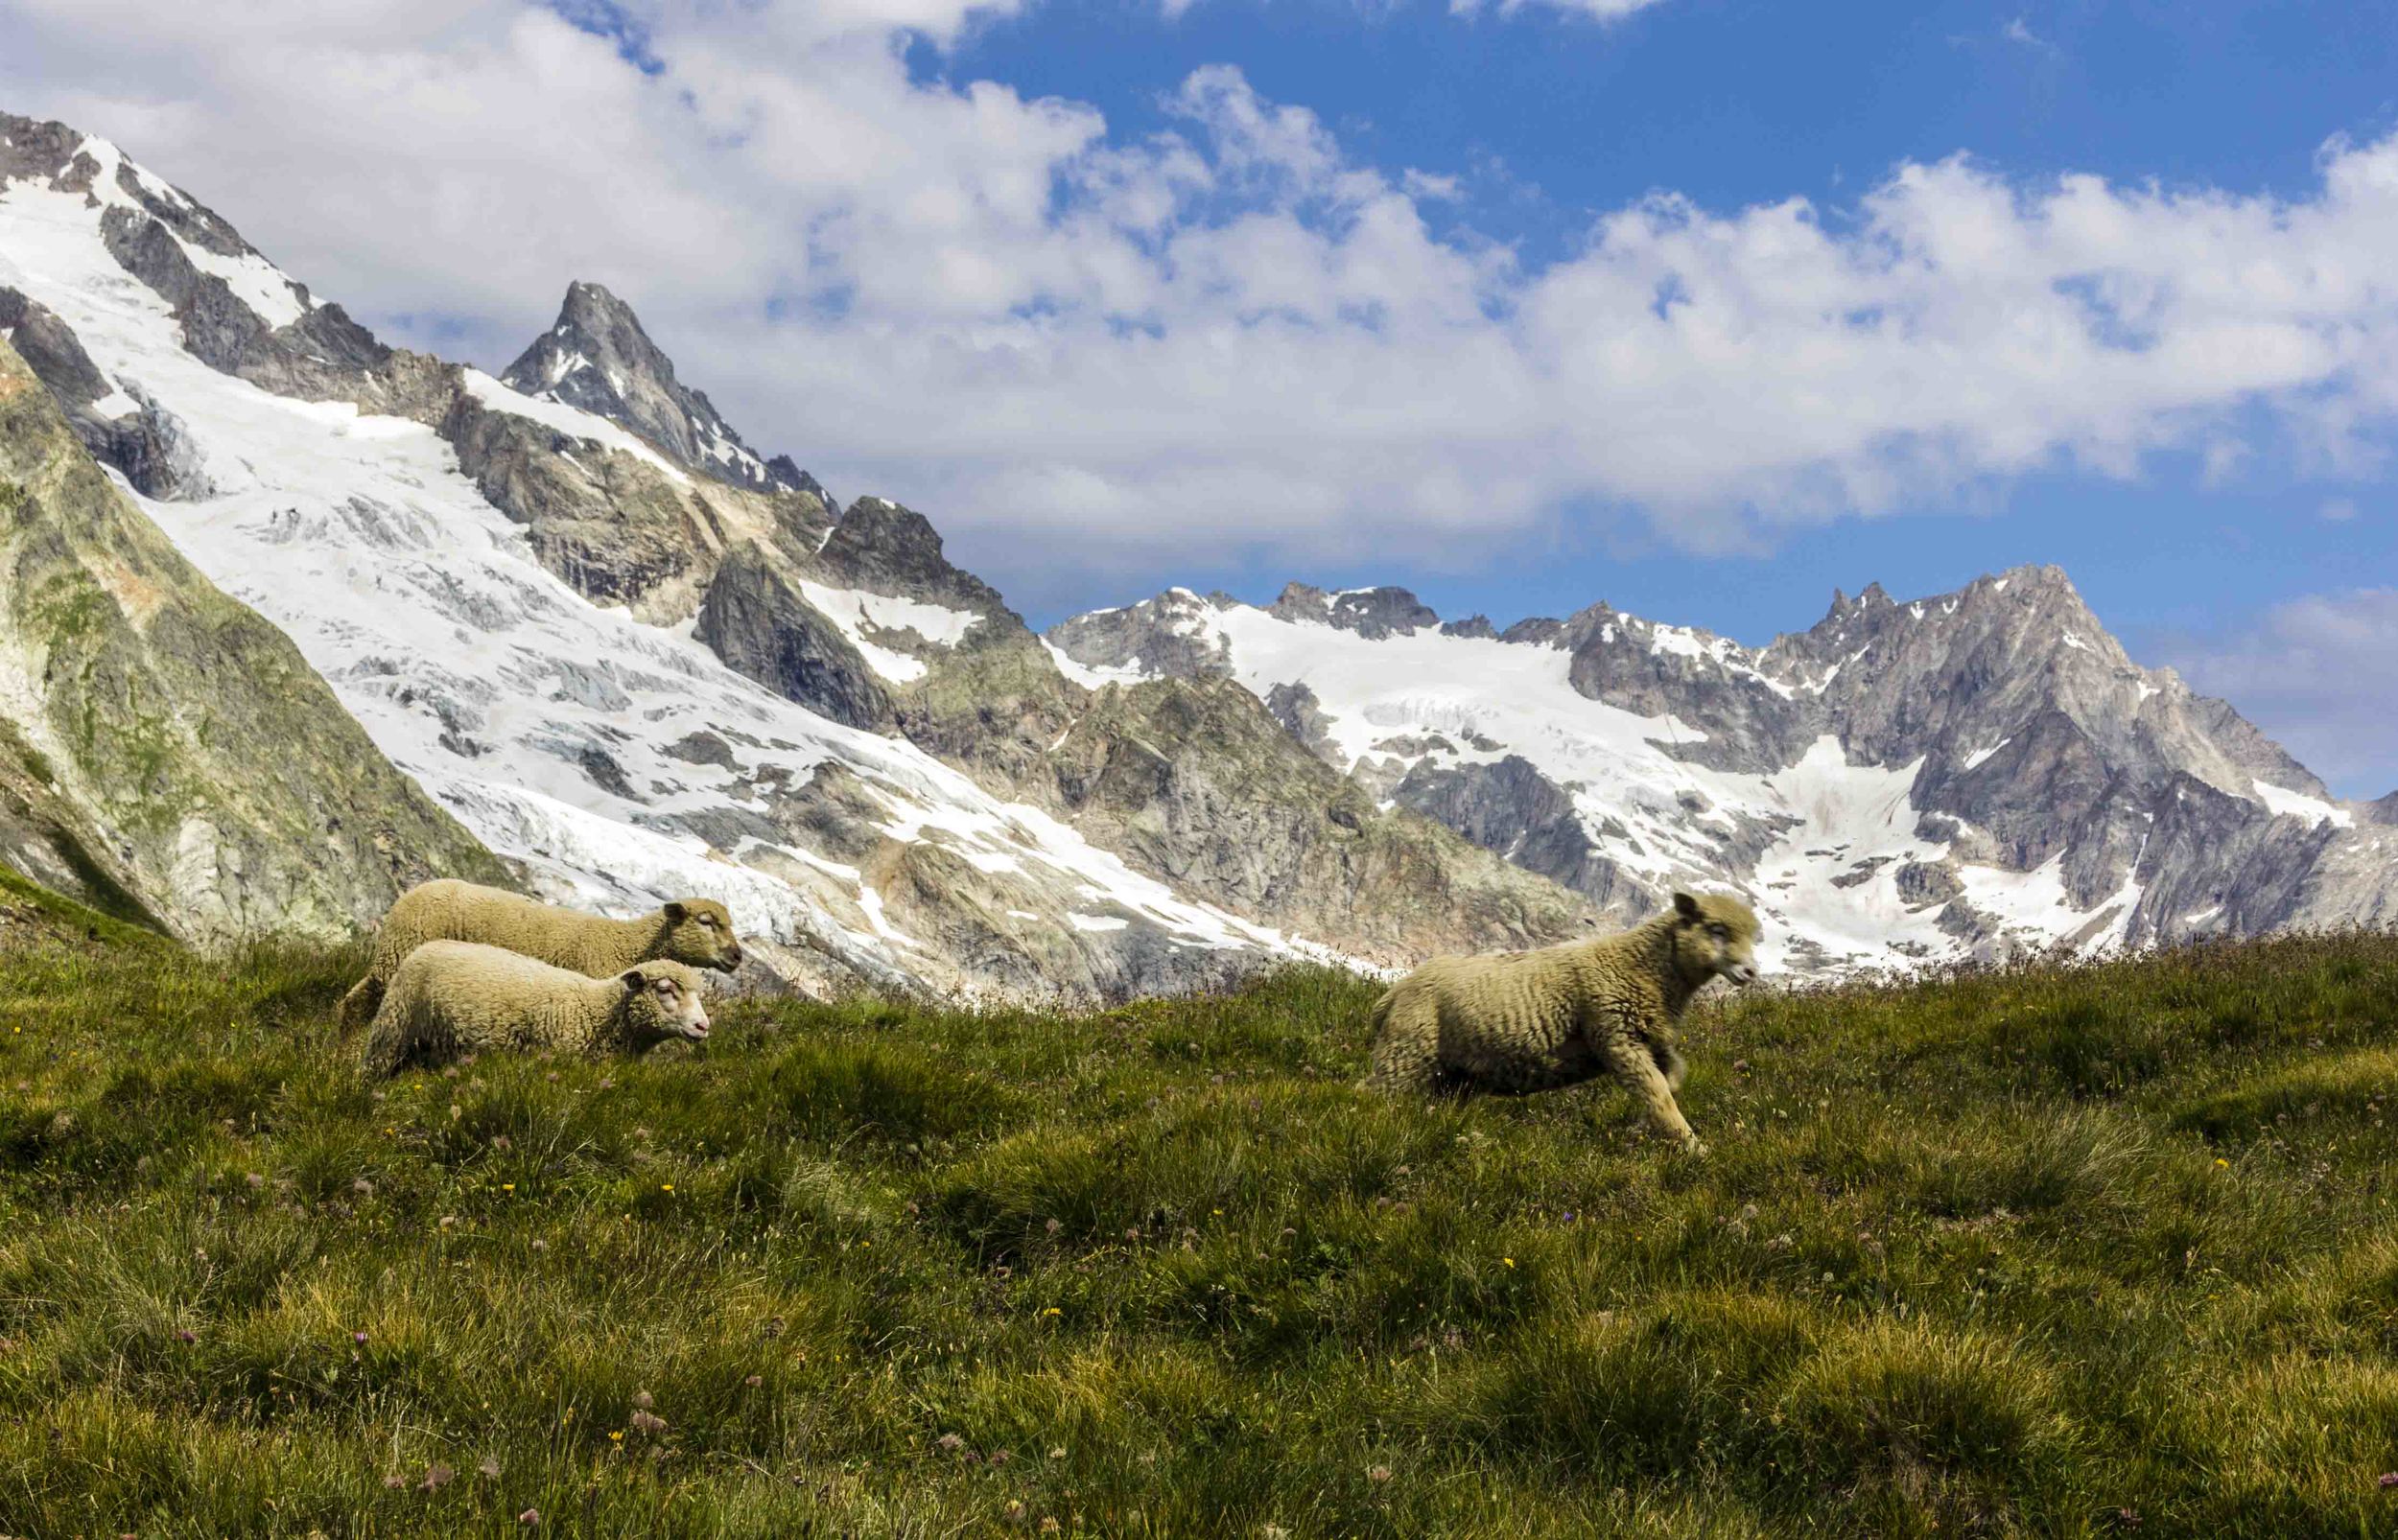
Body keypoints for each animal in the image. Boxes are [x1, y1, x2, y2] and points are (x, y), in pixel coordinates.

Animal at [333, 873, 734, 1031]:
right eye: (706, 921)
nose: (737, 957)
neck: (626, 943)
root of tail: (409, 896)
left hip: (393, 959)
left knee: (356, 1002)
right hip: (400, 957)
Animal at [1372, 882, 1765, 1146]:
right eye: (1716, 929)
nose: (1750, 972)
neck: (1644, 965)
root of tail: (1392, 994)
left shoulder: (1652, 1041)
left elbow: (1671, 1082)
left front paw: (1642, 1127)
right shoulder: (1617, 1037)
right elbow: (1658, 1094)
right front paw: (1691, 1145)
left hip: (1453, 1075)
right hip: (1406, 1053)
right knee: (1372, 1096)